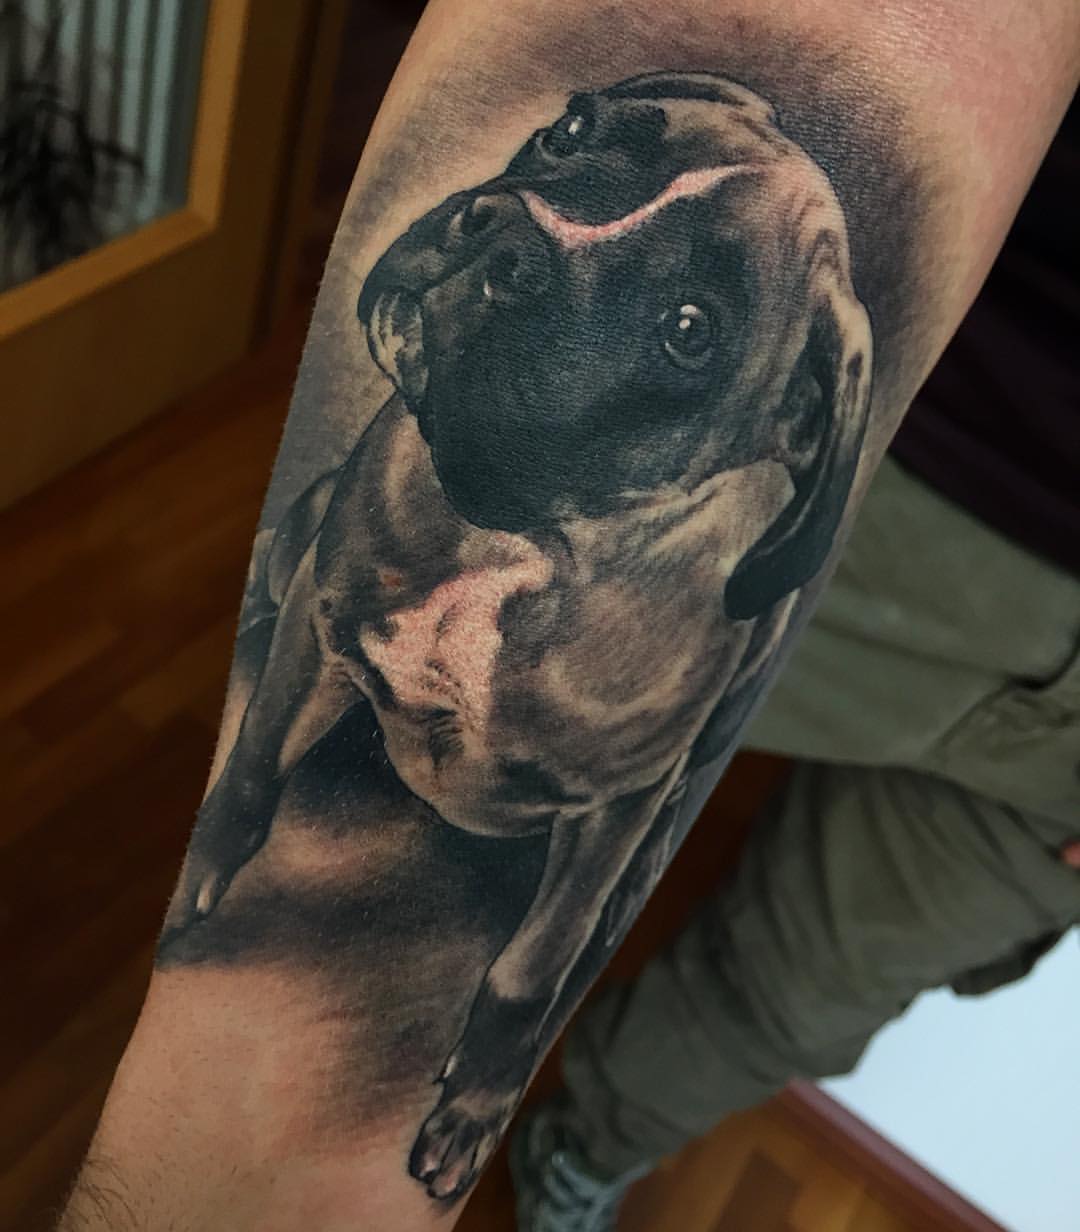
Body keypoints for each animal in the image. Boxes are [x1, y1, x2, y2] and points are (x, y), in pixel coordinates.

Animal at [164, 71, 873, 1200]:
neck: (521, 544)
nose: (501, 227)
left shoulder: (612, 810)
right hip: (299, 550)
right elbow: (249, 775)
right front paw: (195, 883)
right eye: (574, 128)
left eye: (690, 327)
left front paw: (478, 1101)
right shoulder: (322, 628)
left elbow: (528, 969)